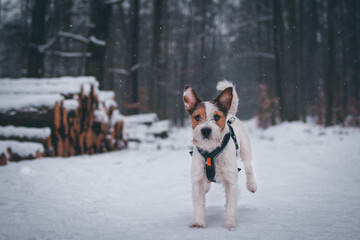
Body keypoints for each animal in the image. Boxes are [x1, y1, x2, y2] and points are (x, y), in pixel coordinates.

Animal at [184, 81, 258, 231]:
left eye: (217, 117)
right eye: (197, 117)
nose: (206, 130)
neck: (210, 152)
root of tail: (230, 114)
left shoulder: (231, 180)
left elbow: (230, 205)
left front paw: (230, 225)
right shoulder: (197, 179)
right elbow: (199, 202)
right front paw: (199, 222)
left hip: (246, 150)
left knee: (249, 166)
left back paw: (252, 185)